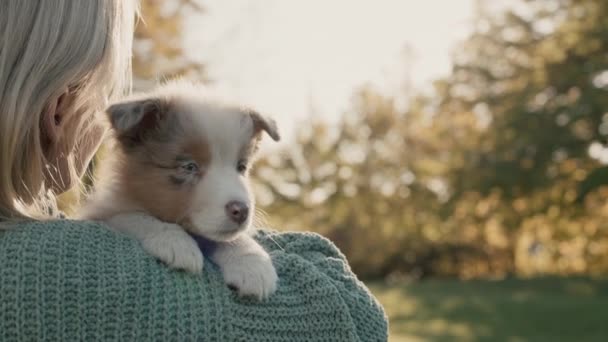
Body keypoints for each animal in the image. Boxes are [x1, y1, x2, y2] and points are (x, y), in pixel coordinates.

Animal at [79, 81, 280, 300]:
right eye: (189, 167)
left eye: (241, 167)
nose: (242, 211)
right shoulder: (106, 212)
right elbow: (136, 217)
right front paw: (176, 242)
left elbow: (230, 238)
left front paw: (253, 264)